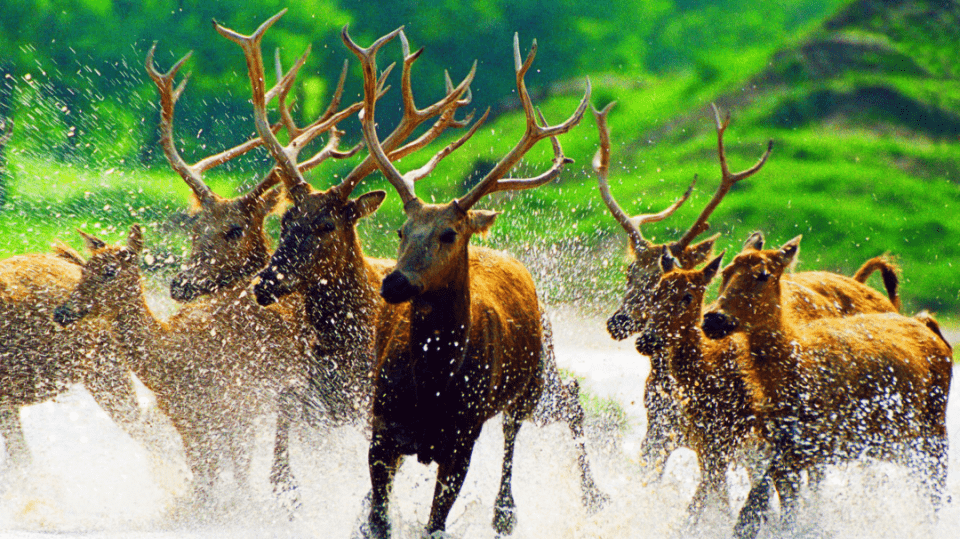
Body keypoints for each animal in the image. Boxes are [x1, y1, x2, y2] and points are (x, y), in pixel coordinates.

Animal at [51, 225, 316, 516]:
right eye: (84, 269)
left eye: (110, 271)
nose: (62, 312)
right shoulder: (186, 421)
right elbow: (205, 478)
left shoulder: (236, 409)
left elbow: (237, 473)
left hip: (291, 380)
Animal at [342, 23, 604, 536]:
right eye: (400, 230)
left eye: (448, 234)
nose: (394, 284)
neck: (432, 385)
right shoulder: (381, 428)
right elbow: (378, 519)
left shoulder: (461, 439)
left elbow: (435, 524)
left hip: (531, 384)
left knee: (517, 443)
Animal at [696, 236, 952, 539]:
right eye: (725, 272)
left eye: (763, 274)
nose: (713, 319)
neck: (791, 370)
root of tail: (931, 330)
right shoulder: (784, 449)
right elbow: (776, 506)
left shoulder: (816, 444)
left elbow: (761, 506)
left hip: (933, 433)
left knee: (934, 490)